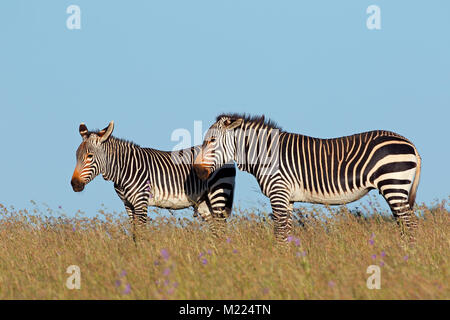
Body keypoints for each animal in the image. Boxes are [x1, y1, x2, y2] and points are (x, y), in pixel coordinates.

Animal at [70, 121, 236, 239]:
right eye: (76, 155)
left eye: (90, 156)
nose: (74, 184)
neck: (124, 169)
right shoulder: (128, 205)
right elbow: (134, 233)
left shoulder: (140, 201)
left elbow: (141, 233)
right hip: (203, 202)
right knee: (216, 229)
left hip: (218, 193)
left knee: (222, 227)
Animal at [193, 114, 422, 242]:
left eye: (211, 141)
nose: (196, 171)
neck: (266, 154)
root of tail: (410, 144)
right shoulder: (288, 199)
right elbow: (286, 231)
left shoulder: (278, 192)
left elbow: (279, 232)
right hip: (396, 188)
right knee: (405, 223)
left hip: (393, 184)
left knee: (410, 224)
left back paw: (408, 256)